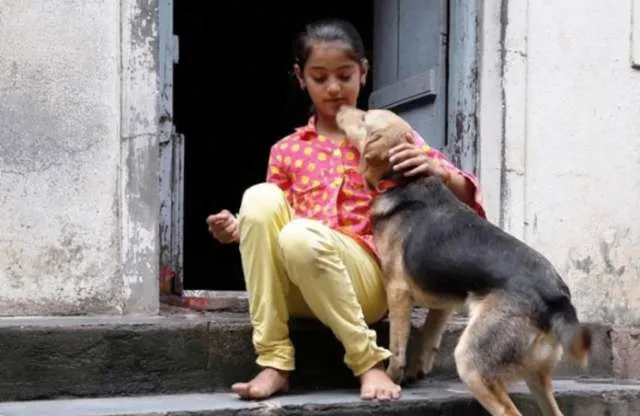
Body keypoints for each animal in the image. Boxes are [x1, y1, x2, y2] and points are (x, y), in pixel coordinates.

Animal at [336, 105, 592, 416]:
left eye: (364, 118)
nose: (339, 107)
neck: (403, 180)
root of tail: (557, 297)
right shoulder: (443, 301)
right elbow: (427, 337)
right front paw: (414, 371)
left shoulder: (397, 290)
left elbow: (397, 345)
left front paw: (392, 377)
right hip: (536, 374)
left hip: (472, 362)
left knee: (508, 411)